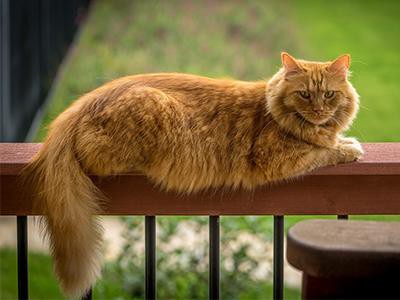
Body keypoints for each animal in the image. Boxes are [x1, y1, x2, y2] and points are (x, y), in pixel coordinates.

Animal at [24, 52, 362, 296]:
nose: (318, 111)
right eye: (305, 94)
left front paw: (343, 140)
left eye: (329, 95)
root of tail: (82, 103)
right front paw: (349, 147)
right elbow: (323, 152)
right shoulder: (277, 158)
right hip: (150, 113)